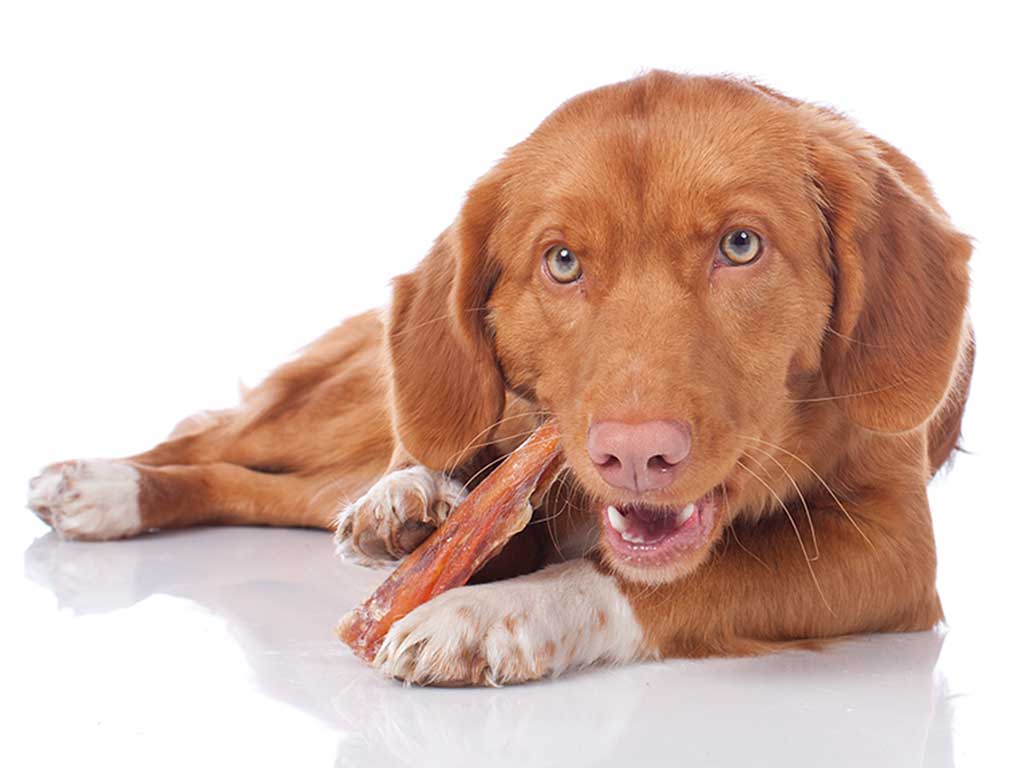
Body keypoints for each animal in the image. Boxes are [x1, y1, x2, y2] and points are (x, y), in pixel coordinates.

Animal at [22, 72, 966, 684]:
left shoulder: (894, 547)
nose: (635, 455)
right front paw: (417, 509)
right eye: (561, 262)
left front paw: (495, 614)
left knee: (263, 486)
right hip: (344, 402)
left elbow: (660, 579)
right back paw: (103, 486)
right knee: (217, 434)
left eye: (742, 245)